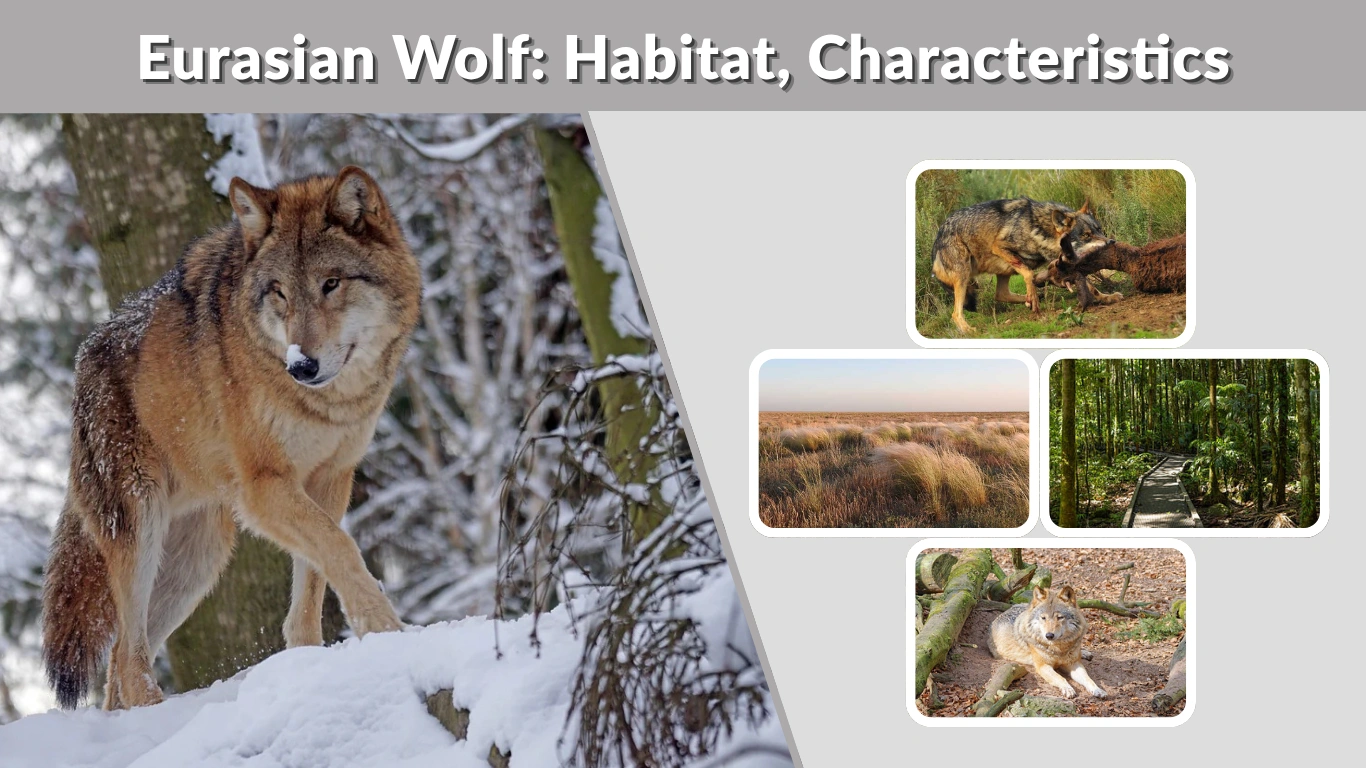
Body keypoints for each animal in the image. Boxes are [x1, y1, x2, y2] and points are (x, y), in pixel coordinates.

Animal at [42, 166, 422, 710]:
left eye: (331, 283)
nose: (301, 366)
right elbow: (342, 549)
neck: (328, 404)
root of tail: (83, 359)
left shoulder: (331, 479)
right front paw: (387, 630)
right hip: (141, 529)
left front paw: (311, 662)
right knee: (128, 659)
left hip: (198, 560)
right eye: (279, 291)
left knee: (118, 664)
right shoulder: (265, 487)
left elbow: (314, 581)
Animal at [930, 198, 1112, 334]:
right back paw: (969, 330)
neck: (1037, 228)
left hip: (1002, 270)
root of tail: (938, 236)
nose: (1111, 242)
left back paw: (1033, 298)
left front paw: (1106, 297)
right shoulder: (998, 246)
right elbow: (1029, 274)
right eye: (1086, 236)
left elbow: (1090, 285)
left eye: (1099, 230)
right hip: (964, 276)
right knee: (956, 313)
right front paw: (1034, 300)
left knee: (1000, 294)